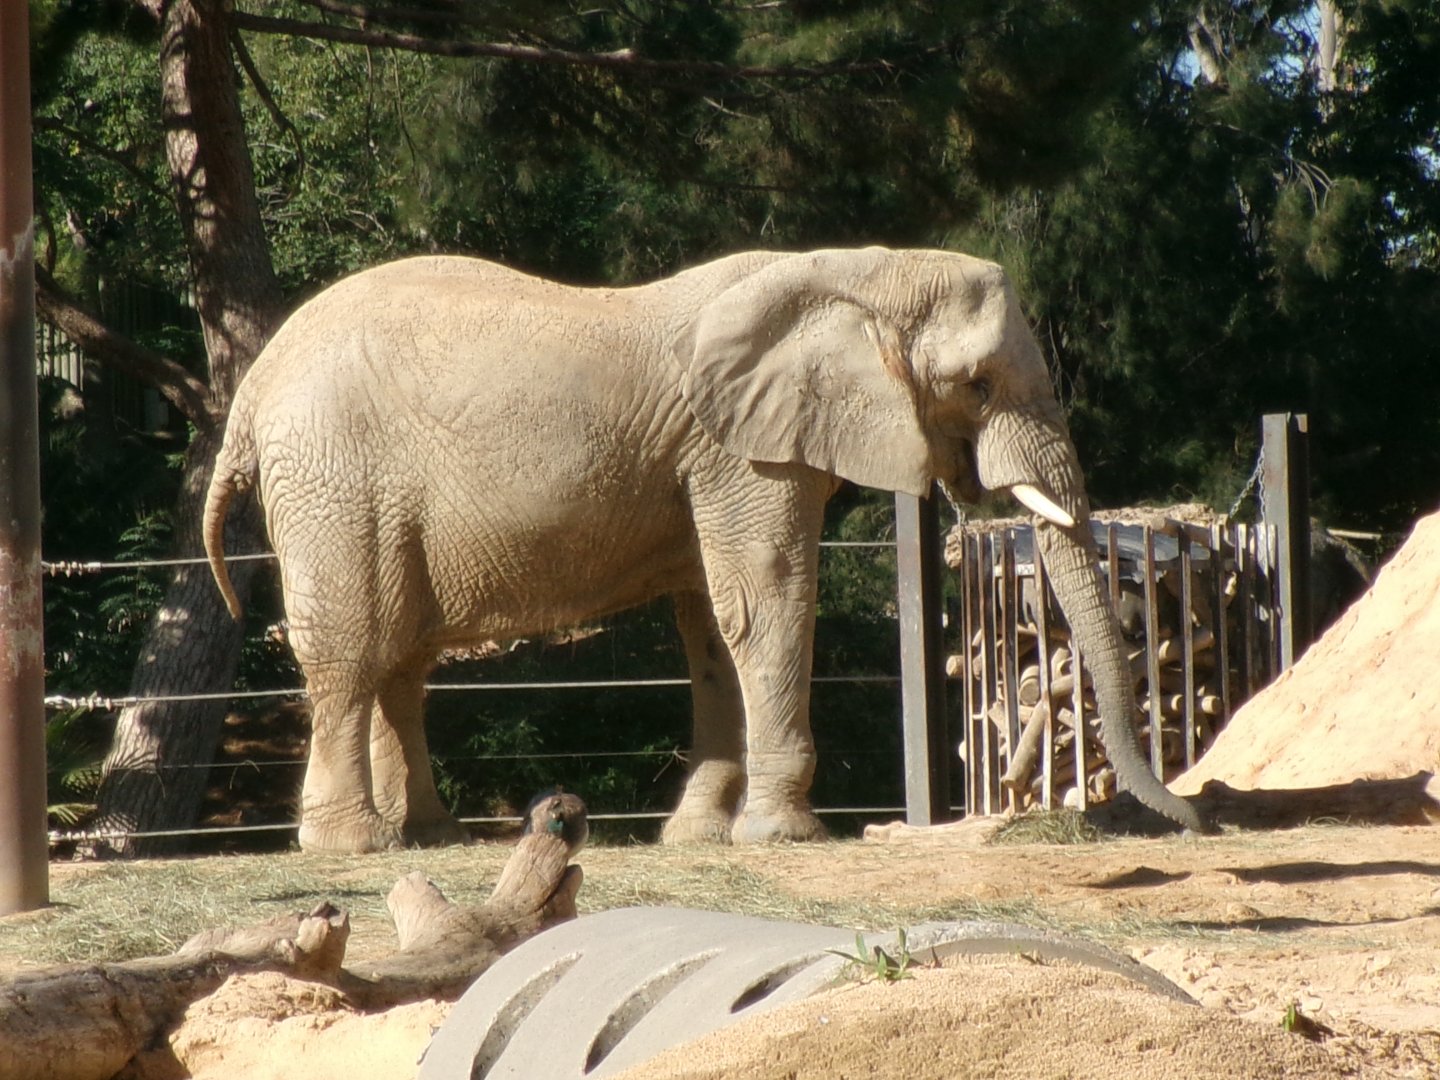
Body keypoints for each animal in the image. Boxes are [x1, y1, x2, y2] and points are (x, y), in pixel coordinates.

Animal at [203, 246, 1211, 853]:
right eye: (977, 383)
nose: (1195, 816)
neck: (862, 268)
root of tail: (250, 396)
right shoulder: (742, 447)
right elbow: (766, 595)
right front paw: (785, 836)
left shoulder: (718, 453)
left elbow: (712, 622)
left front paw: (698, 836)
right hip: (335, 482)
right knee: (353, 650)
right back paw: (356, 845)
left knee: (401, 663)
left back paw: (434, 836)